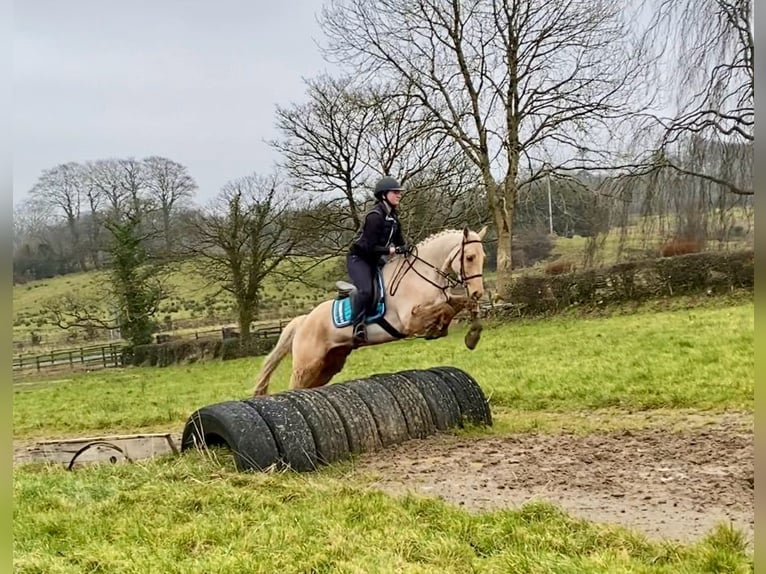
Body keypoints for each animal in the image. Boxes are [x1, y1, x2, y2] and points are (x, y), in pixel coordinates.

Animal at [255, 227, 488, 398]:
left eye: (483, 257)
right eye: (469, 257)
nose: (478, 292)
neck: (424, 273)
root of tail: (303, 321)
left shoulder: (444, 301)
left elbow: (458, 305)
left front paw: (471, 335)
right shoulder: (409, 320)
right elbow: (446, 309)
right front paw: (438, 330)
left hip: (328, 364)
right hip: (307, 364)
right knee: (295, 386)